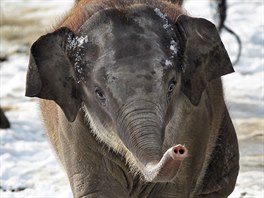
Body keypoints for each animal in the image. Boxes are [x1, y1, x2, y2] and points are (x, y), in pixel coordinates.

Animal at [24, 0, 239, 197]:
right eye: (99, 93)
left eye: (172, 85)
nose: (179, 149)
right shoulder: (74, 130)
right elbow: (98, 189)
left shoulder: (193, 120)